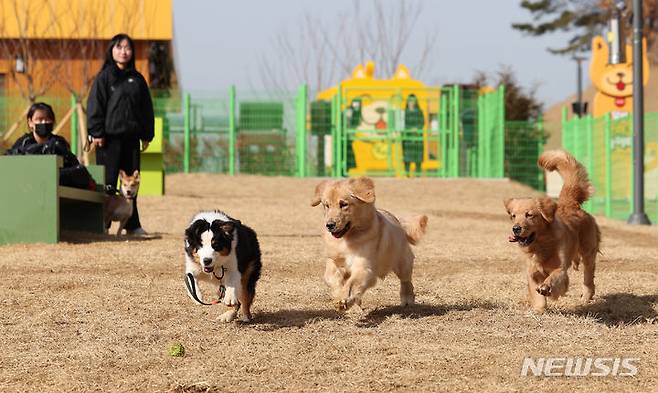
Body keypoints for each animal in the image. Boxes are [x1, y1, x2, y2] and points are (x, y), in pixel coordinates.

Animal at [312, 176, 428, 310]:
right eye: (327, 205)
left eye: (344, 204)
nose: (330, 225)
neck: (348, 239)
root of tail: (398, 221)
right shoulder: (334, 261)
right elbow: (331, 277)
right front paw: (340, 297)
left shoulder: (364, 267)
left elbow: (352, 283)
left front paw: (343, 298)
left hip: (402, 263)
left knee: (406, 281)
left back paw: (407, 299)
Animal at [504, 149, 596, 310]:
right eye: (513, 216)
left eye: (529, 215)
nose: (516, 228)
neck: (541, 245)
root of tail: (570, 204)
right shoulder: (532, 272)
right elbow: (537, 296)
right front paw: (539, 309)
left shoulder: (561, 269)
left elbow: (554, 277)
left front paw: (546, 287)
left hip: (588, 252)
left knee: (588, 278)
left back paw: (586, 296)